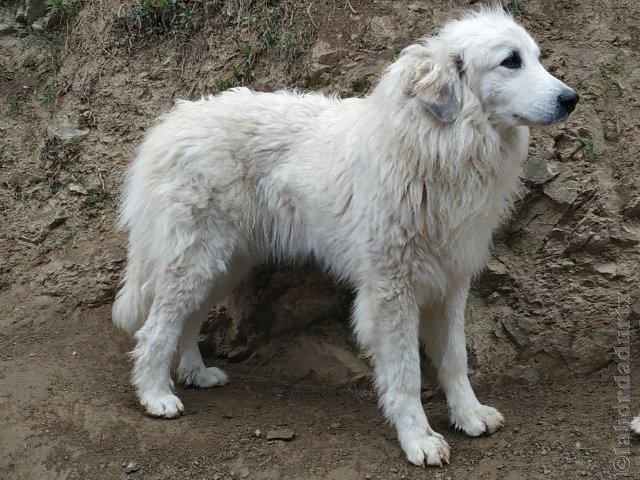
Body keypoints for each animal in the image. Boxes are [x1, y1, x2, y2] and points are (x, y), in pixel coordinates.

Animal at [112, 5, 576, 466]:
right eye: (511, 61)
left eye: (537, 58)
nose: (571, 99)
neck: (439, 144)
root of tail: (172, 122)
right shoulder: (392, 288)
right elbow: (406, 371)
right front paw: (418, 438)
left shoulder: (451, 280)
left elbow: (455, 358)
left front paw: (468, 414)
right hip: (194, 259)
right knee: (157, 328)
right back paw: (156, 395)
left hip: (224, 263)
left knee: (188, 319)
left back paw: (196, 372)